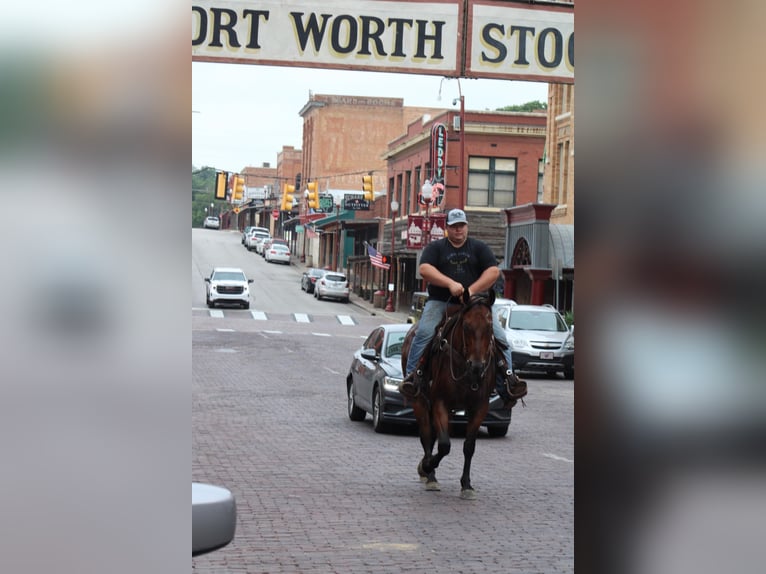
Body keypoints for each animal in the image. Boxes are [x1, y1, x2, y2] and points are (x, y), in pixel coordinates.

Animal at [402, 292, 498, 500]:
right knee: (427, 435)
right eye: (466, 326)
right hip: (420, 400)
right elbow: (444, 444)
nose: (477, 366)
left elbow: (469, 446)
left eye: (490, 327)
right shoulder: (440, 402)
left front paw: (467, 485)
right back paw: (429, 472)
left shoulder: (480, 407)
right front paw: (428, 466)